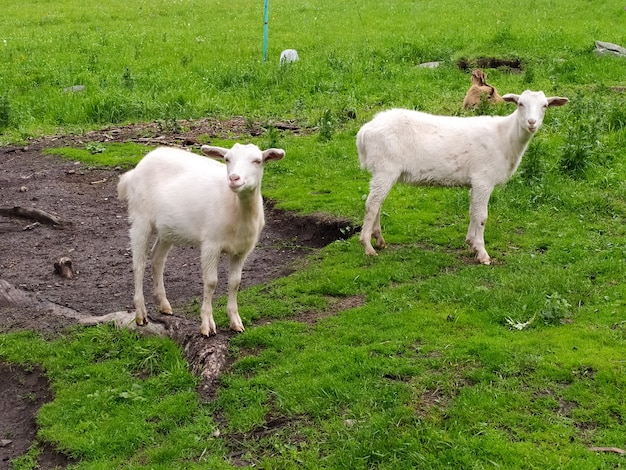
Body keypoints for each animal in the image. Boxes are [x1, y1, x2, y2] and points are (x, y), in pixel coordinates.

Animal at [116, 143, 284, 334]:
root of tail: (135, 170)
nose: (234, 178)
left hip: (167, 229)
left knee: (157, 258)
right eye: (227, 159)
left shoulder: (242, 250)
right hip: (140, 217)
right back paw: (140, 314)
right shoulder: (211, 244)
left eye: (257, 161)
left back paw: (164, 304)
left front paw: (235, 321)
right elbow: (211, 282)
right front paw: (207, 325)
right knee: (138, 264)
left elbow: (235, 282)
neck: (236, 207)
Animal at [356, 90, 564, 262]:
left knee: (377, 203)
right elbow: (482, 216)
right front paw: (482, 253)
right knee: (372, 204)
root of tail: (364, 132)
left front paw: (471, 244)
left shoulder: (475, 182)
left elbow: (472, 212)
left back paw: (379, 240)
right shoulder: (483, 179)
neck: (505, 137)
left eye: (545, 105)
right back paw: (367, 246)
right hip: (385, 168)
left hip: (383, 171)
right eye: (520, 104)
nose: (532, 122)